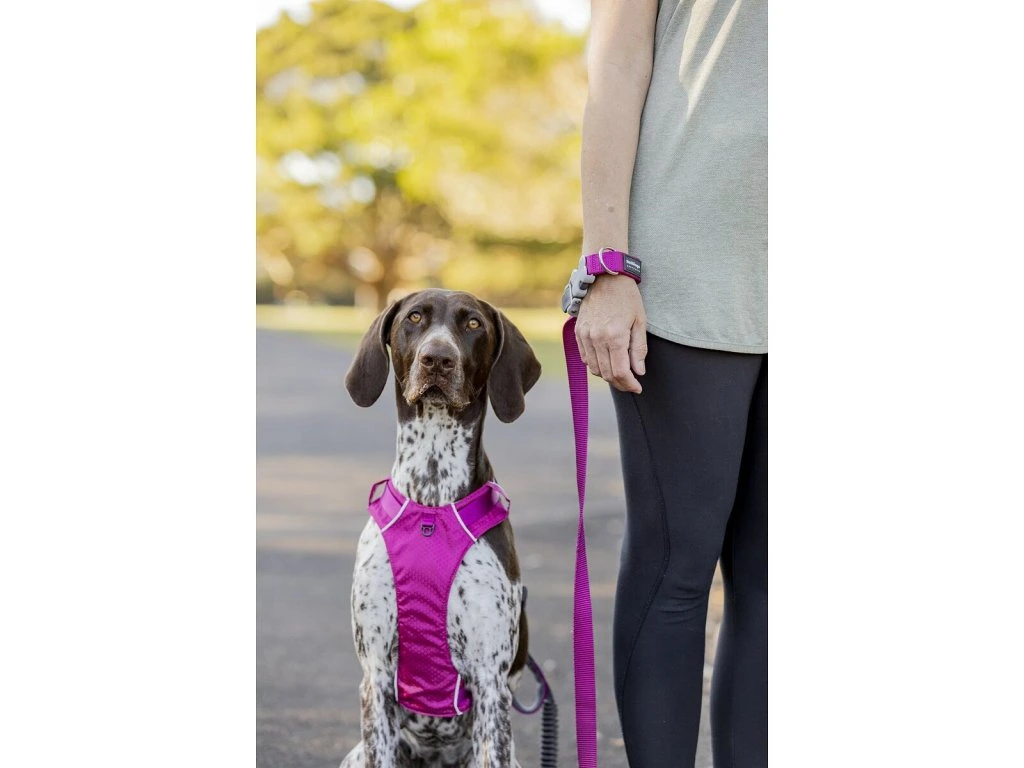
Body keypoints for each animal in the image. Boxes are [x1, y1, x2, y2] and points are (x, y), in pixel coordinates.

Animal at [341, 288, 542, 768]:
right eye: (414, 318)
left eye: (473, 325)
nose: (437, 359)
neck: (432, 497)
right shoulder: (375, 674)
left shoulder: (490, 682)